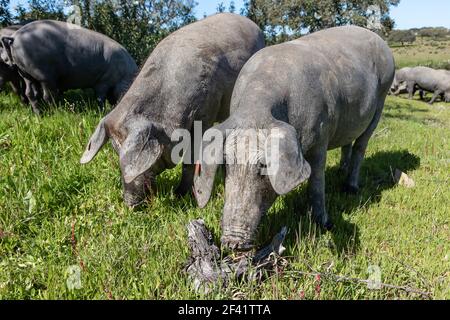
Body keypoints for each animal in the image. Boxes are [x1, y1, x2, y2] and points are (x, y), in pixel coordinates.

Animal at [0, 20, 138, 115]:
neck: (123, 75)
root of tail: (15, 37)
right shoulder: (103, 81)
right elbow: (100, 98)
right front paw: (102, 112)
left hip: (24, 73)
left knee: (30, 93)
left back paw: (38, 115)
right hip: (44, 76)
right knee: (48, 96)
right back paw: (57, 112)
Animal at [79, 13, 266, 208]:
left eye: (140, 160)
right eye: (116, 152)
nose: (130, 205)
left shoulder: (205, 113)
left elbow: (190, 159)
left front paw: (180, 195)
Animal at [192, 25, 394, 250]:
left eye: (263, 166)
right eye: (226, 165)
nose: (232, 242)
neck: (258, 104)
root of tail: (381, 41)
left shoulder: (321, 135)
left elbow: (317, 179)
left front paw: (323, 224)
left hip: (381, 99)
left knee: (361, 146)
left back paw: (350, 188)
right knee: (348, 143)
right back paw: (341, 171)